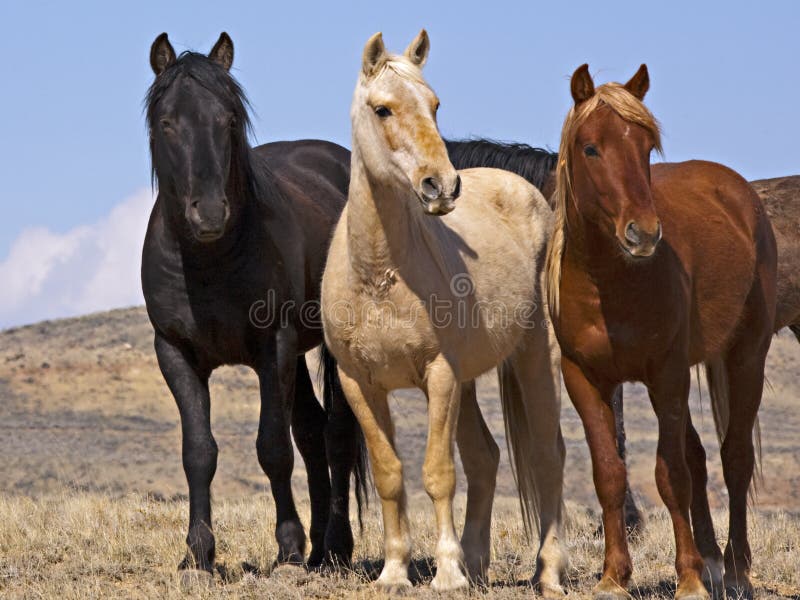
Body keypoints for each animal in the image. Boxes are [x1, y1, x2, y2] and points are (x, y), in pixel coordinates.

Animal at [322, 32, 564, 596]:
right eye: (382, 109)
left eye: (434, 106)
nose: (441, 187)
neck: (380, 274)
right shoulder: (357, 383)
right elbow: (391, 474)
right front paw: (395, 571)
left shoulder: (440, 376)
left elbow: (438, 473)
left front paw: (447, 573)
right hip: (471, 382)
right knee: (486, 457)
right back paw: (478, 564)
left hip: (534, 358)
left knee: (548, 456)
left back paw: (548, 572)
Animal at [548, 65, 780, 600]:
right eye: (590, 148)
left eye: (646, 146)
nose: (644, 233)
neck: (609, 283)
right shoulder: (583, 378)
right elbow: (610, 474)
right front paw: (613, 576)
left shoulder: (665, 376)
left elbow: (670, 475)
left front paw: (688, 579)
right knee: (700, 457)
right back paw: (713, 562)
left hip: (746, 356)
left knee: (734, 459)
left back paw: (735, 570)